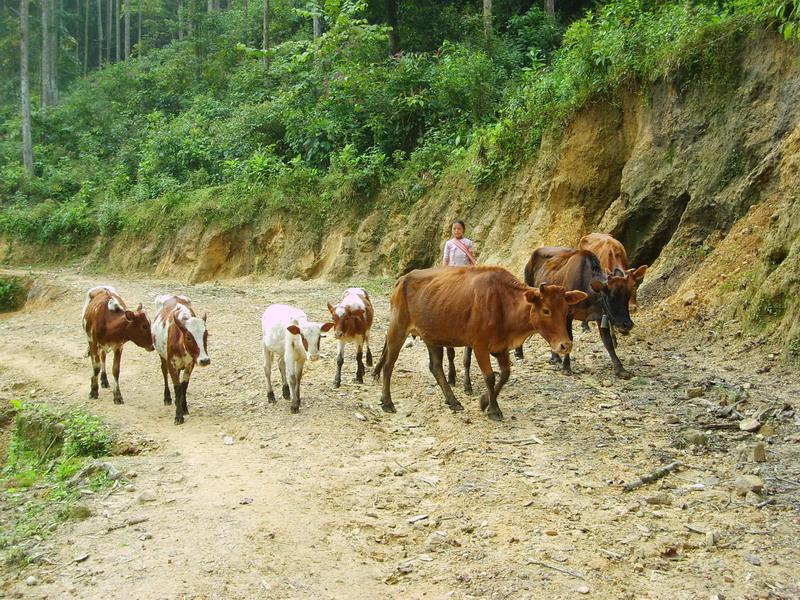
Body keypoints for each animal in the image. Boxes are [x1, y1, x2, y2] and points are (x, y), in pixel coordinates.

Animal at [151, 292, 209, 424]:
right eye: (188, 337)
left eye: (206, 335)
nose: (205, 360)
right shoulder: (171, 363)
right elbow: (177, 387)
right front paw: (178, 415)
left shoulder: (190, 364)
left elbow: (184, 386)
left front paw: (184, 408)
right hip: (162, 356)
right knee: (164, 372)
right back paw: (167, 397)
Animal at [372, 268, 584, 422]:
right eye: (546, 310)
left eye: (566, 310)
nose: (565, 345)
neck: (503, 303)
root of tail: (403, 279)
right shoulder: (479, 345)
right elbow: (489, 377)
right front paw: (493, 409)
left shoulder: (500, 347)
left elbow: (505, 374)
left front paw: (484, 402)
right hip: (398, 328)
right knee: (389, 364)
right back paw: (387, 401)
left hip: (431, 336)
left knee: (436, 367)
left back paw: (453, 400)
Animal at [520, 246, 636, 378]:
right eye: (610, 296)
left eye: (627, 296)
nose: (627, 324)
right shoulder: (568, 315)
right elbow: (569, 338)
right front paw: (566, 367)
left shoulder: (600, 316)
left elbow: (608, 342)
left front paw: (620, 368)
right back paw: (520, 353)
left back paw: (555, 357)